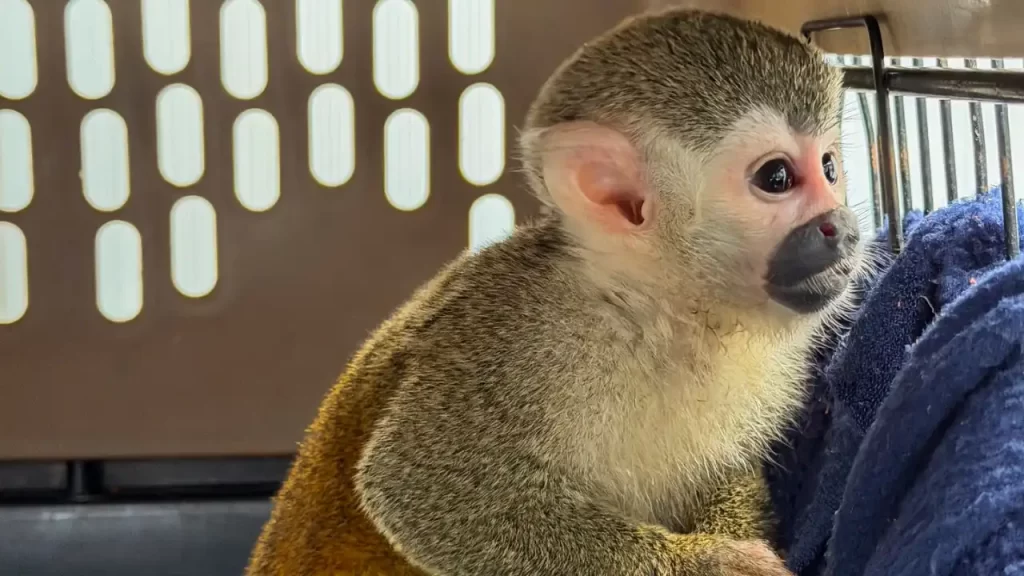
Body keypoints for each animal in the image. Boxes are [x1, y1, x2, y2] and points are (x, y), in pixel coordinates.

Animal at [245, 7, 869, 576]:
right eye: (776, 178)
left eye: (830, 167)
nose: (843, 227)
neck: (658, 311)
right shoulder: (518, 335)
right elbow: (415, 487)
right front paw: (704, 564)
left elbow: (730, 472)